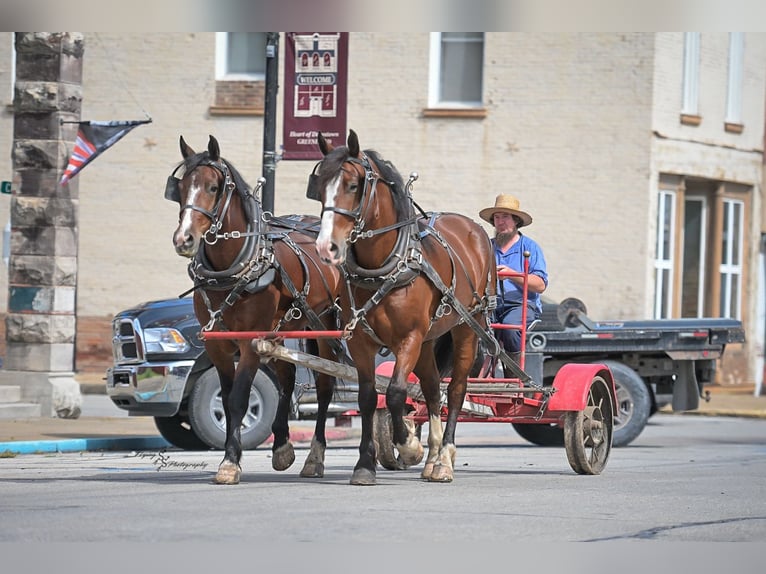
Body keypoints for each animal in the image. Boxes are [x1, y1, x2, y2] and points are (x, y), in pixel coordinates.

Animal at [167, 134, 343, 485]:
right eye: (180, 188)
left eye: (212, 187)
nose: (184, 239)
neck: (233, 268)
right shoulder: (219, 345)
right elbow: (226, 396)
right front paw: (233, 455)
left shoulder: (250, 342)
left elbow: (238, 399)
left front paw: (230, 463)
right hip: (285, 329)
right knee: (288, 378)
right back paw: (282, 446)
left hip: (325, 325)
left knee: (325, 384)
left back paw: (315, 457)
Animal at [309, 129, 497, 484]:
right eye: (320, 185)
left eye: (352, 185)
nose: (326, 247)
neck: (385, 264)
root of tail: (475, 229)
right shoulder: (361, 341)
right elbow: (369, 397)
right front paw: (365, 465)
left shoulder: (409, 338)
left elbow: (396, 391)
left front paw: (408, 445)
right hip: (429, 341)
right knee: (432, 388)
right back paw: (434, 458)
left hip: (467, 327)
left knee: (456, 390)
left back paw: (445, 458)